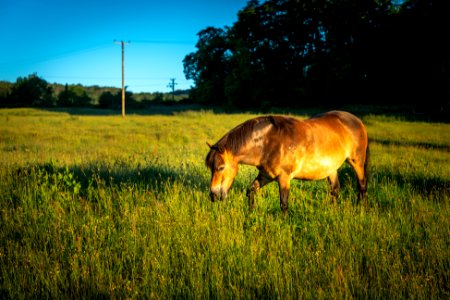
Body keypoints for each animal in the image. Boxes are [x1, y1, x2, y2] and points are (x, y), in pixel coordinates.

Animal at [207, 110, 370, 213]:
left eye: (221, 167)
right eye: (211, 168)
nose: (213, 196)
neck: (268, 143)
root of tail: (356, 120)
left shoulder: (284, 178)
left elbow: (284, 203)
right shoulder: (266, 176)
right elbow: (250, 191)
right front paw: (251, 213)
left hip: (357, 162)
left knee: (362, 186)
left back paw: (360, 209)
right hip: (331, 168)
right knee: (335, 190)